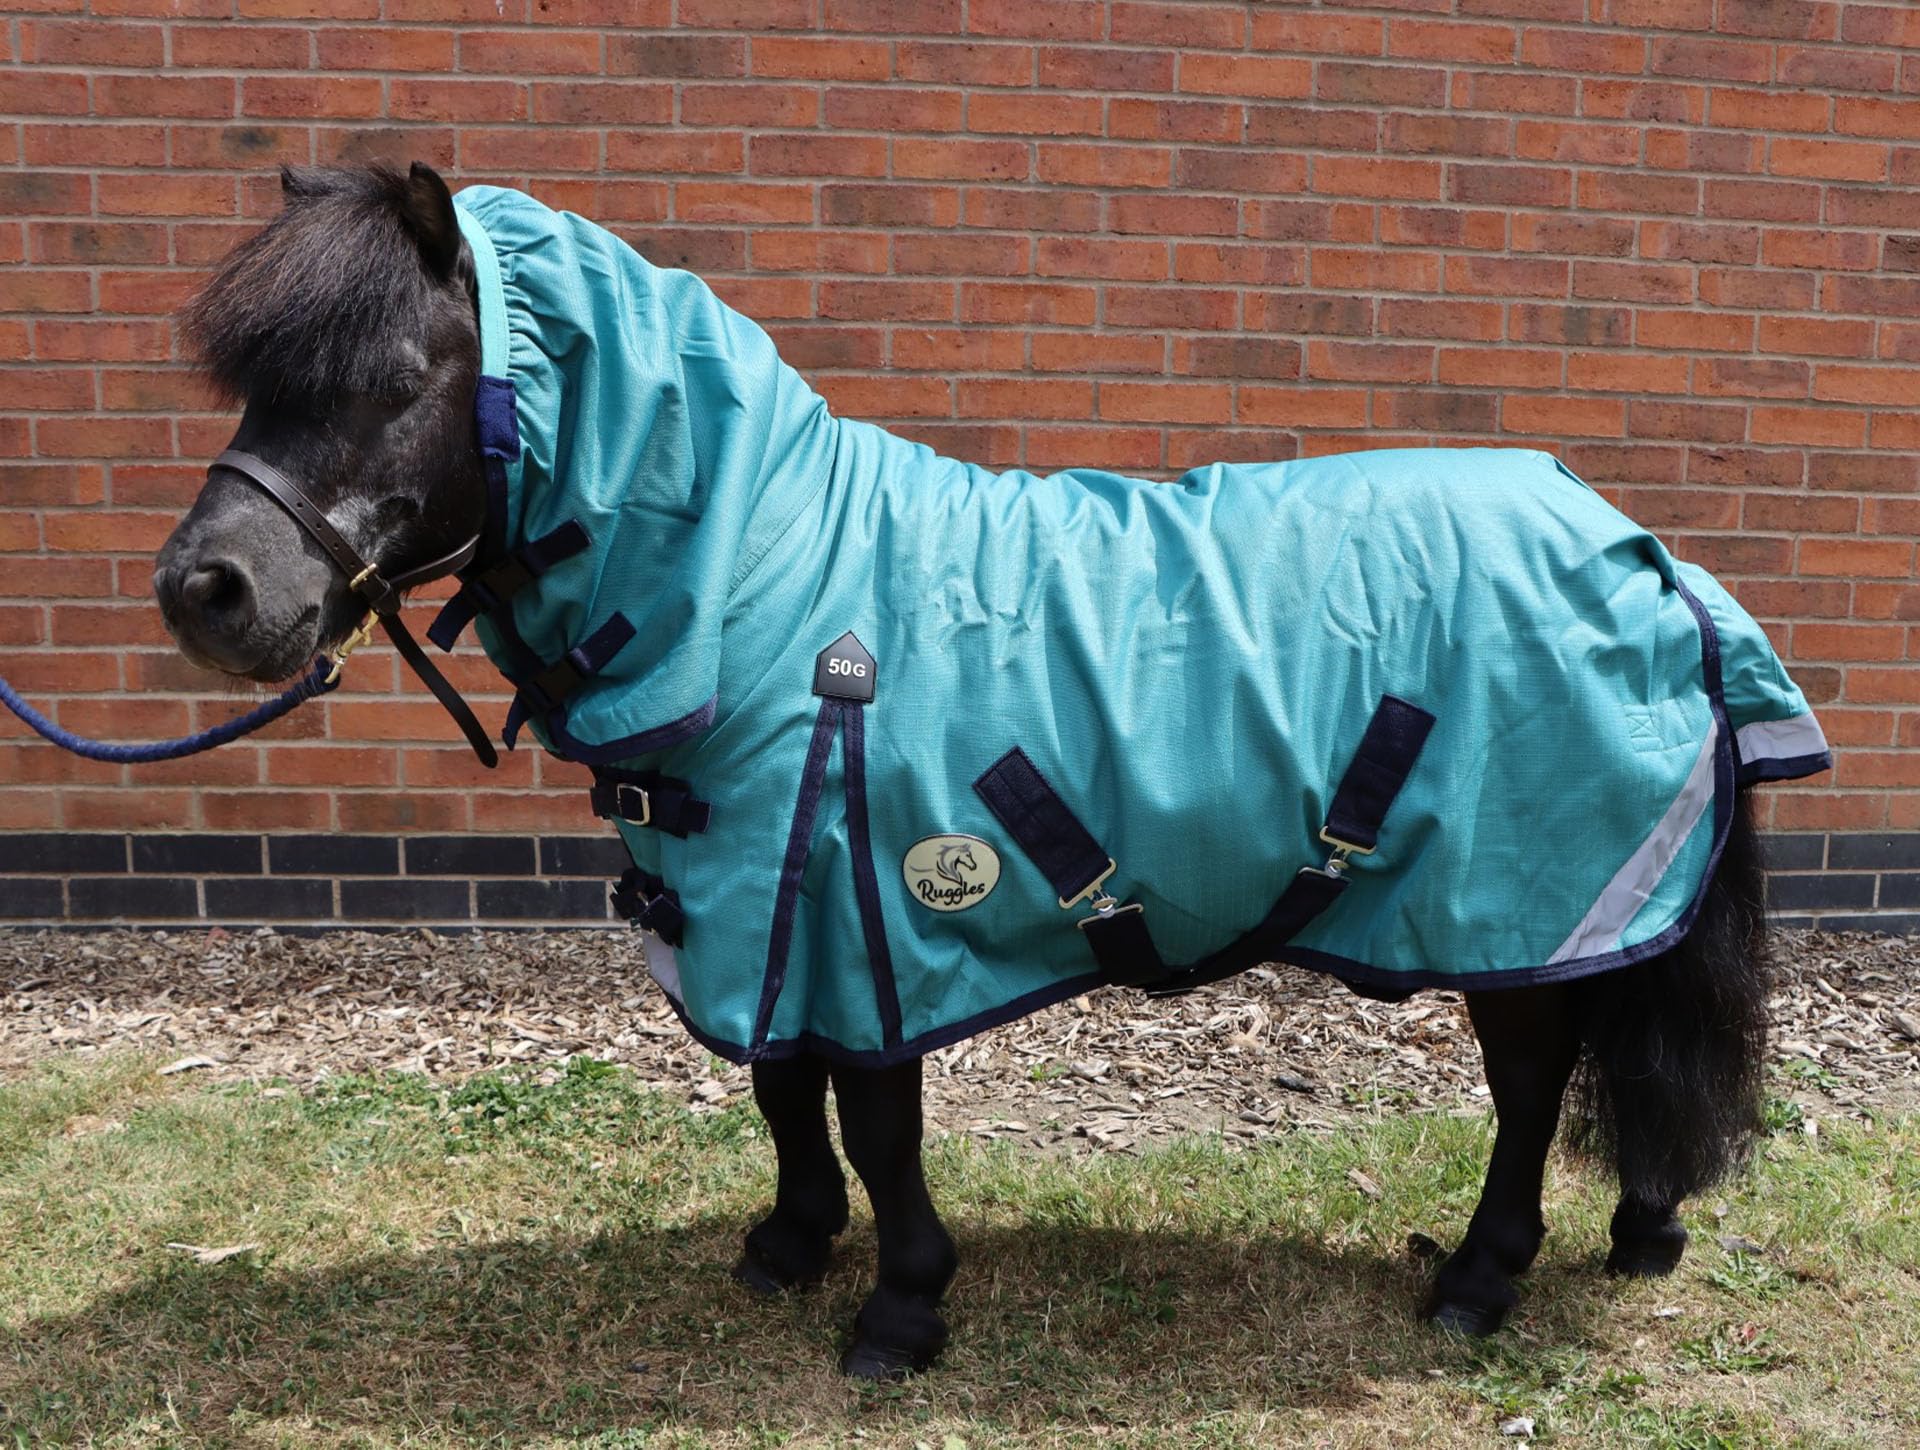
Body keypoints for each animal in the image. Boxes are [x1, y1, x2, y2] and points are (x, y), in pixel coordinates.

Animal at [152, 163, 1825, 1378]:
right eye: (253, 387)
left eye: (393, 376)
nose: (206, 591)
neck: (763, 580)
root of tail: (1642, 552)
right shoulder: (758, 903)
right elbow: (782, 1092)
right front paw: (787, 1245)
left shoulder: (858, 915)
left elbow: (873, 1121)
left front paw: (899, 1311)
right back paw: (1642, 1226)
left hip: (1518, 907)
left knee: (1535, 1081)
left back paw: (1482, 1278)